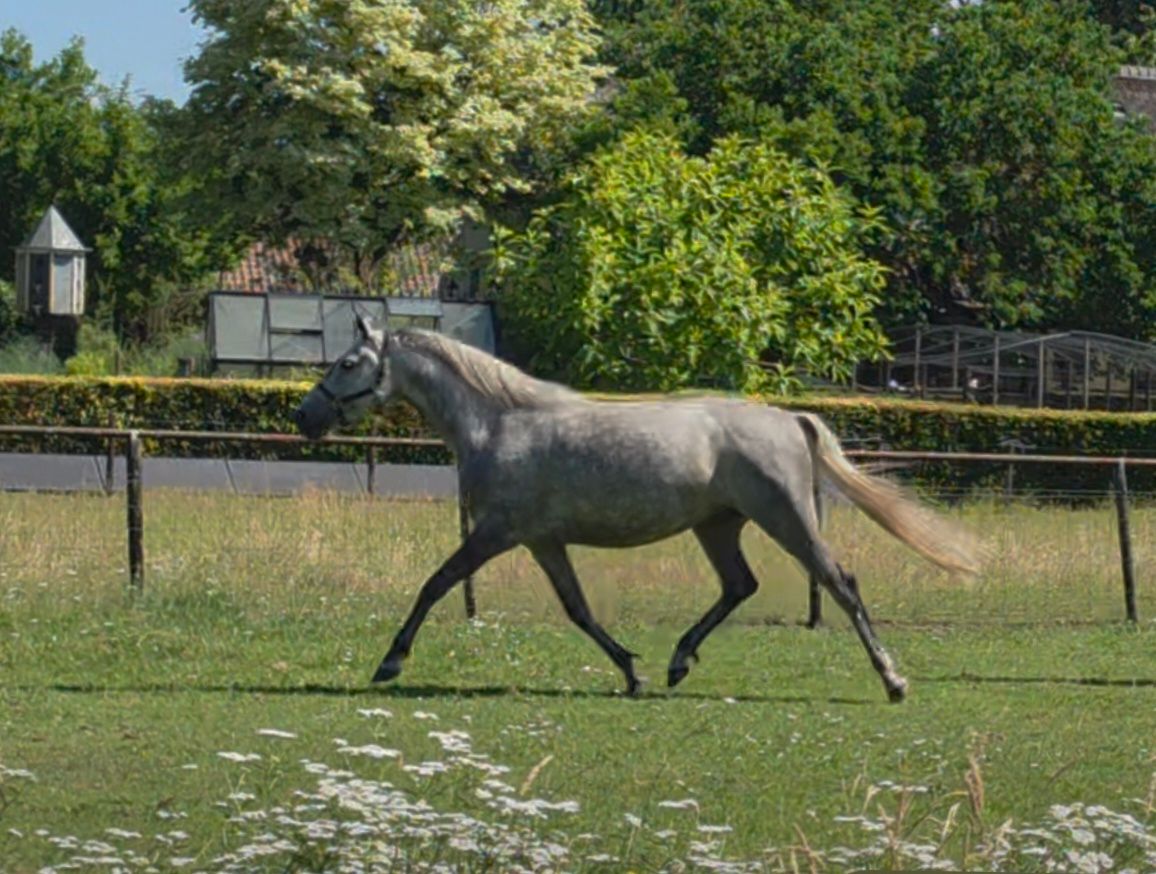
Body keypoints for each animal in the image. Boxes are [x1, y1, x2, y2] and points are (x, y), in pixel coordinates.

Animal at [294, 315, 980, 702]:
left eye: (348, 362)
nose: (305, 416)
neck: (499, 423)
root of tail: (791, 418)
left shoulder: (497, 533)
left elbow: (435, 583)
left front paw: (390, 661)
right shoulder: (543, 541)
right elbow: (578, 609)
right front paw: (633, 672)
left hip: (786, 518)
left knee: (840, 583)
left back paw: (893, 681)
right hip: (717, 526)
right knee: (740, 585)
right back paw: (678, 663)